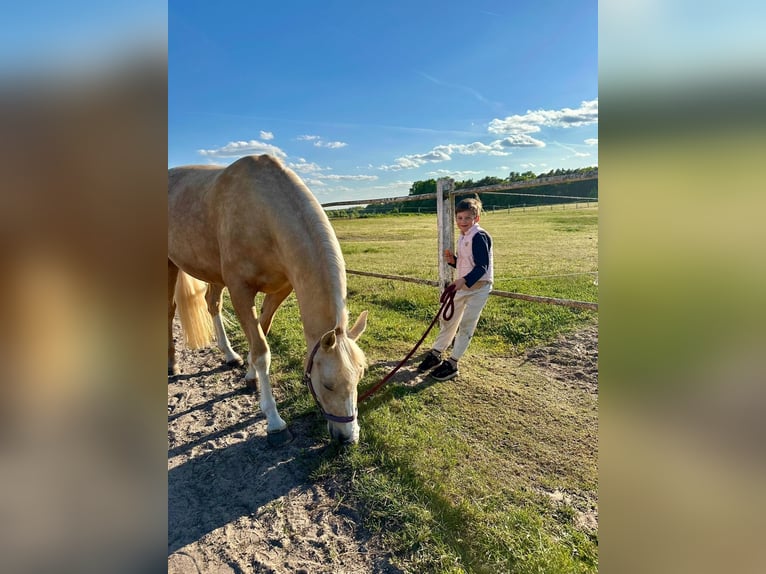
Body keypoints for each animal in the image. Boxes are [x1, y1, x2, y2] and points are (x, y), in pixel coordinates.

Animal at [168, 154, 368, 444]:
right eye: (328, 384)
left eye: (360, 377)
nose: (348, 438)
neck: (264, 213)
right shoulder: (240, 291)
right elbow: (262, 351)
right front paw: (274, 420)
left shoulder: (280, 289)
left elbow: (260, 332)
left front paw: (250, 374)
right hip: (170, 265)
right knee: (169, 310)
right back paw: (172, 363)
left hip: (213, 275)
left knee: (212, 304)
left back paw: (230, 355)